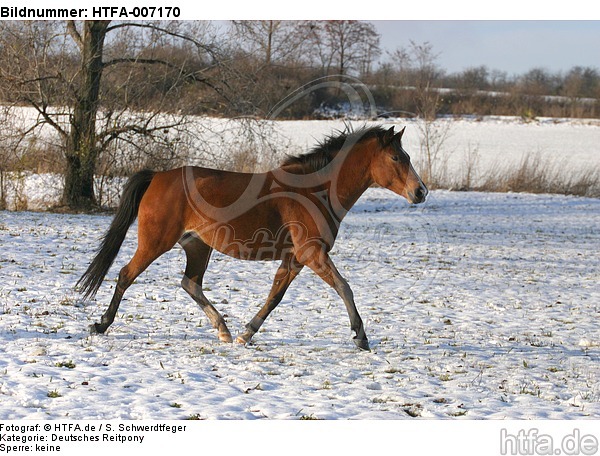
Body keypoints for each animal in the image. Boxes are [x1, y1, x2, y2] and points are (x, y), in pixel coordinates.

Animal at [77, 124, 428, 350]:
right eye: (397, 158)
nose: (421, 192)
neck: (314, 190)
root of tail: (158, 176)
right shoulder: (312, 253)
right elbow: (344, 287)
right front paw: (361, 336)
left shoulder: (295, 259)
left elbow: (275, 297)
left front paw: (246, 333)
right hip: (155, 242)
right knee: (126, 275)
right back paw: (101, 324)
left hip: (197, 246)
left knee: (190, 283)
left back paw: (223, 330)